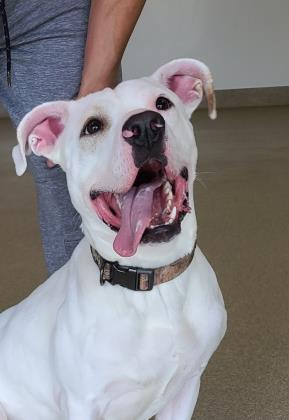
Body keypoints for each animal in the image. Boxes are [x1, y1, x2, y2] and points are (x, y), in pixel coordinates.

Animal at [0, 59, 225, 420]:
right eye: (92, 127)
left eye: (163, 103)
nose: (145, 126)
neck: (151, 283)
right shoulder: (84, 404)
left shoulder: (187, 386)